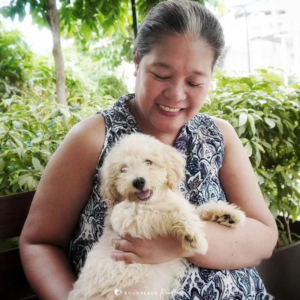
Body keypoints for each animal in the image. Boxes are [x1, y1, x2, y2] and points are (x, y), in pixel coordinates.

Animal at [68, 134, 246, 300]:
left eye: (148, 162)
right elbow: (170, 212)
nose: (138, 181)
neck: (154, 200)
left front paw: (228, 214)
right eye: (123, 169)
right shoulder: (127, 216)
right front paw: (192, 236)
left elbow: (195, 210)